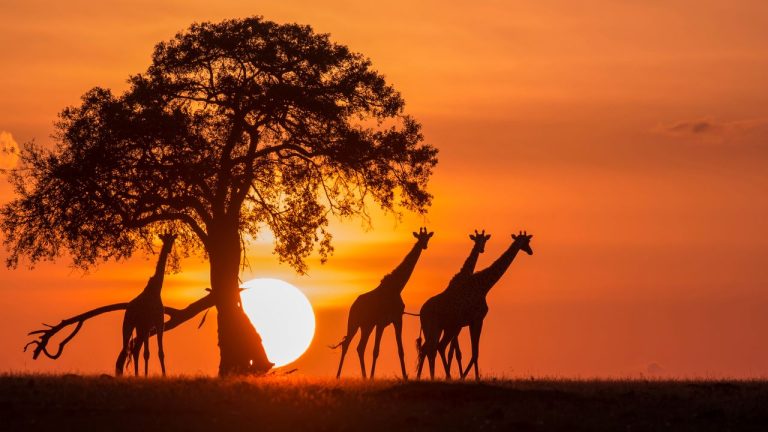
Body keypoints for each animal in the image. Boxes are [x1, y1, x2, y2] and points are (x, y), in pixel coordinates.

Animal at [115, 231, 177, 376]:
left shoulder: (153, 325)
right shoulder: (153, 323)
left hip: (136, 327)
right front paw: (155, 375)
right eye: (166, 239)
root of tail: (129, 309)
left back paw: (137, 375)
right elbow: (153, 353)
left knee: (134, 349)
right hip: (131, 325)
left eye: (172, 240)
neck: (156, 290)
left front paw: (155, 375)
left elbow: (154, 353)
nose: (168, 249)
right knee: (130, 349)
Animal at [332, 228, 436, 380]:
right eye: (420, 237)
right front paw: (372, 376)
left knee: (360, 347)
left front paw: (404, 376)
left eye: (427, 238)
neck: (396, 287)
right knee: (346, 345)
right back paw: (339, 376)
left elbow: (400, 350)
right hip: (354, 323)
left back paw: (363, 377)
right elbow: (376, 351)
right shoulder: (381, 322)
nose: (424, 246)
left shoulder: (397, 319)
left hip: (367, 326)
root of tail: (353, 305)